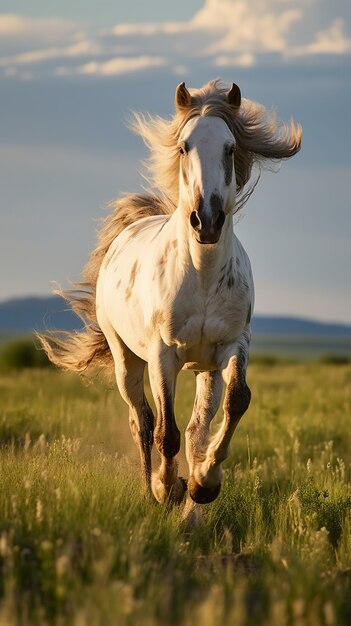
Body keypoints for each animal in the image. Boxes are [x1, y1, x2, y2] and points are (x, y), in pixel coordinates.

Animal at [40, 78, 302, 516]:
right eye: (184, 147)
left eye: (230, 148)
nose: (206, 220)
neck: (202, 275)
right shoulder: (163, 354)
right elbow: (166, 432)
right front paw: (167, 487)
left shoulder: (233, 345)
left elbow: (236, 402)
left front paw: (204, 485)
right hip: (125, 359)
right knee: (142, 421)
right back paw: (154, 491)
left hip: (204, 368)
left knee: (197, 428)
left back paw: (192, 505)